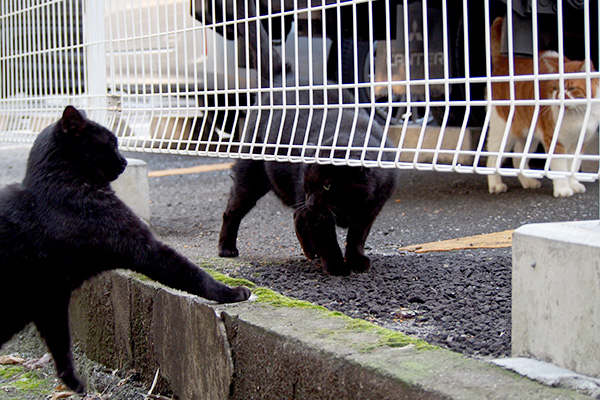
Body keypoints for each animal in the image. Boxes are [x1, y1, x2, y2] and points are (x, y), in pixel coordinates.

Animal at [0, 104, 248, 392]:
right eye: (112, 143)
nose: (125, 161)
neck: (58, 187)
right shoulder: (144, 247)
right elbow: (193, 274)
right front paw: (233, 292)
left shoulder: (51, 301)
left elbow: (61, 347)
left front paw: (74, 383)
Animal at [217, 0, 398, 276]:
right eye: (310, 184)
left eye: (328, 185)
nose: (312, 201)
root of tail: (282, 76)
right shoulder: (318, 213)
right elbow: (328, 239)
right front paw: (337, 267)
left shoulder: (370, 210)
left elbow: (357, 236)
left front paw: (356, 261)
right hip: (251, 177)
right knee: (232, 211)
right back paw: (227, 249)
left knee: (298, 217)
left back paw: (311, 253)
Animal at [488, 16, 600, 198]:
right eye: (555, 88)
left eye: (571, 89)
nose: (559, 97)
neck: (577, 114)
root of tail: (504, 62)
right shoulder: (555, 141)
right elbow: (561, 167)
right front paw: (563, 189)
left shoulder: (579, 143)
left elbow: (573, 167)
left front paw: (573, 184)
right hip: (503, 131)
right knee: (492, 160)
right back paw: (496, 185)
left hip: (529, 137)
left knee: (518, 159)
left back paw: (528, 182)